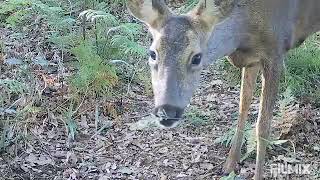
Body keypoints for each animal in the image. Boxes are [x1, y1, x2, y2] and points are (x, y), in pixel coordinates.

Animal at [127, 0, 320, 179]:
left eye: (197, 57)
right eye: (152, 53)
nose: (167, 111)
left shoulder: (275, 53)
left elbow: (263, 125)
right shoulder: (252, 59)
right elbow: (243, 105)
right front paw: (229, 164)